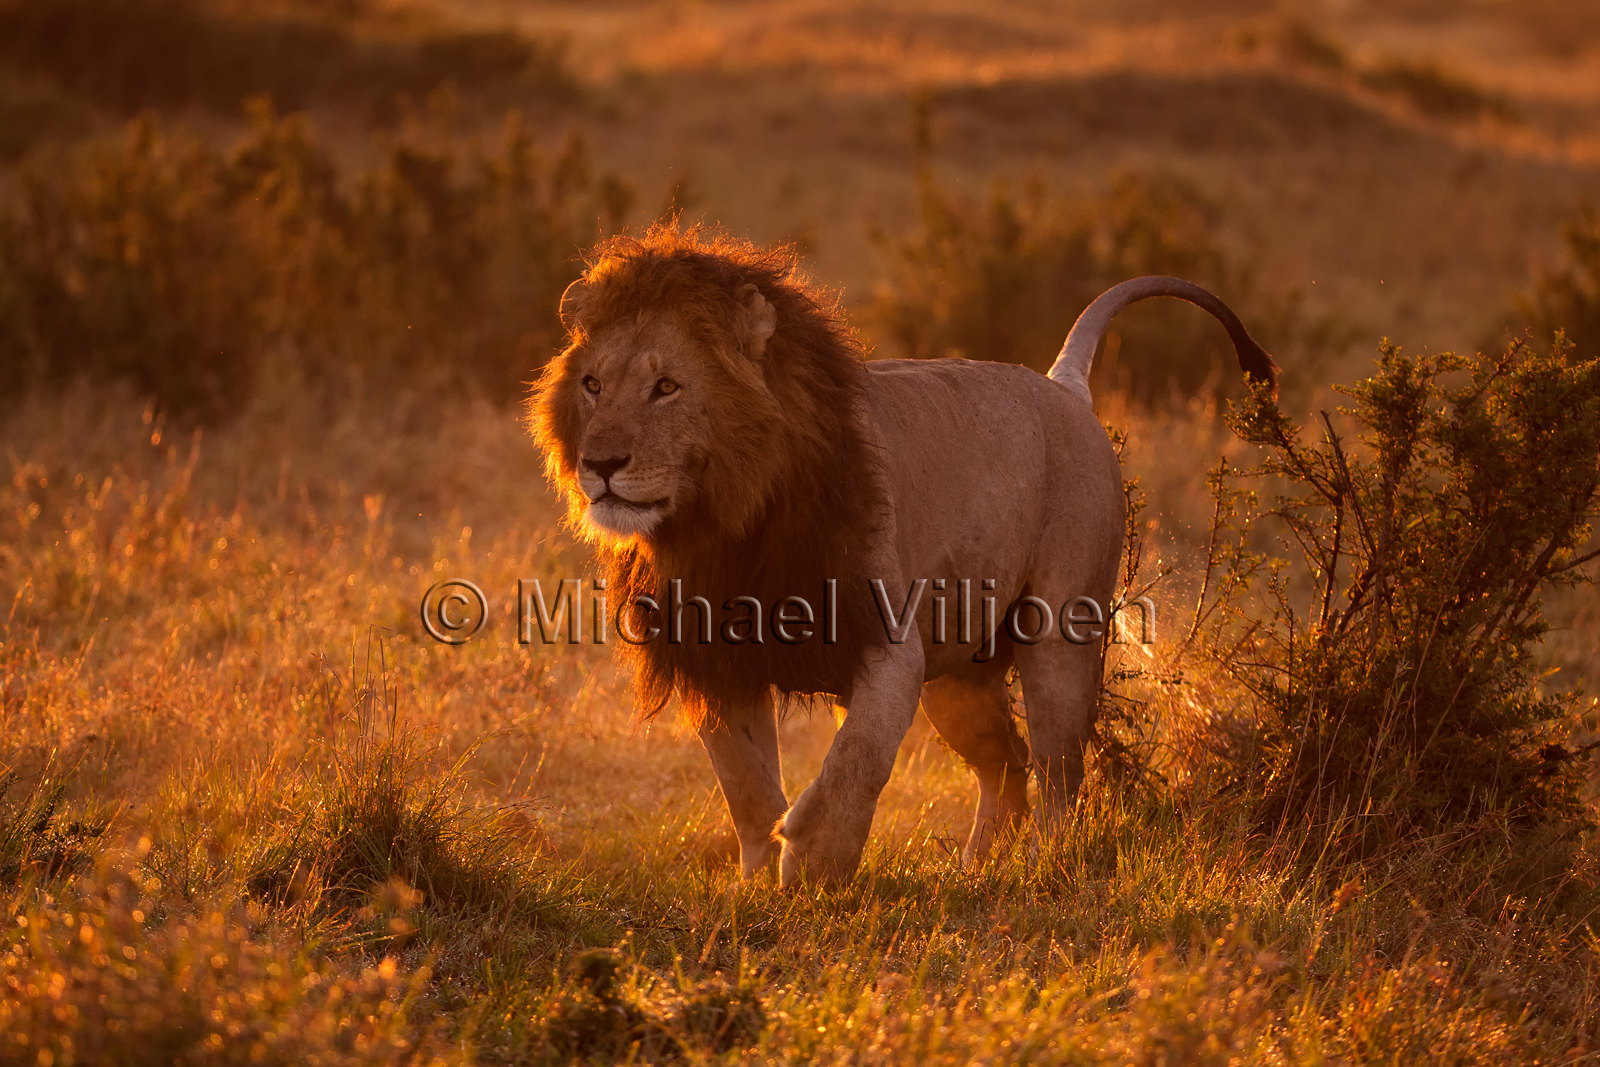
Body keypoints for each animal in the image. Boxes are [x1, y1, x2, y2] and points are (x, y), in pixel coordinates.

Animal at [529, 226, 1276, 886]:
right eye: (592, 385)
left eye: (667, 387)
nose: (600, 465)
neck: (726, 521)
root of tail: (1063, 385)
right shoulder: (718, 658)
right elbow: (747, 787)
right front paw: (757, 883)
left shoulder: (890, 643)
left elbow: (857, 757)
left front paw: (815, 862)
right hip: (959, 679)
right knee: (1007, 766)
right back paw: (974, 872)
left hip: (1061, 638)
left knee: (1060, 772)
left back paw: (1048, 869)